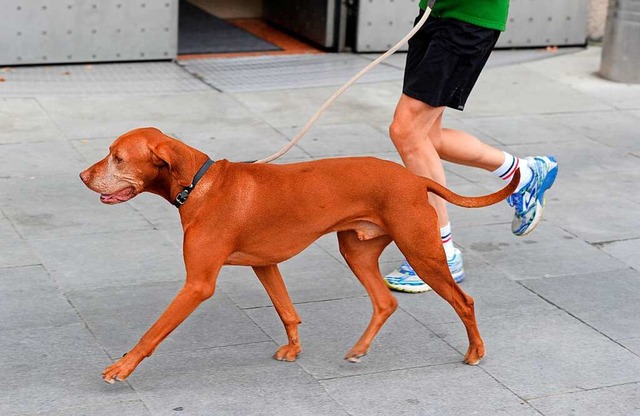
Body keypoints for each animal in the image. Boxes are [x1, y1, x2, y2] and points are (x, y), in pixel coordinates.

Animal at [80, 127, 520, 384]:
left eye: (117, 157)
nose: (83, 176)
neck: (199, 184)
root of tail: (416, 178)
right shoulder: (265, 264)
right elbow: (287, 311)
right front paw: (293, 348)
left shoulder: (198, 284)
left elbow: (153, 332)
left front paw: (123, 365)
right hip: (356, 251)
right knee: (384, 302)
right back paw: (359, 350)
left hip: (422, 253)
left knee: (463, 301)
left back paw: (475, 352)